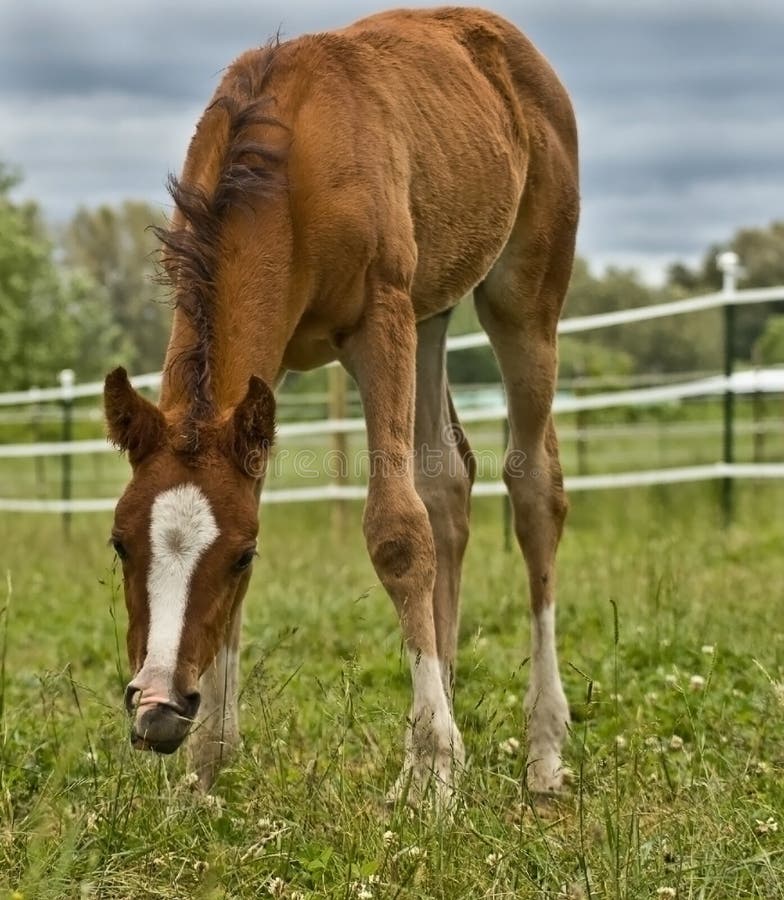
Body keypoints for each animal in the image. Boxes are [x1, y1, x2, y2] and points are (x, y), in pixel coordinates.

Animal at [104, 7, 580, 804]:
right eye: (119, 544)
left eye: (240, 555)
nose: (160, 710)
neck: (290, 163)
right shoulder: (266, 383)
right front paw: (205, 769)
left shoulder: (377, 318)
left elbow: (396, 531)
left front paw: (429, 774)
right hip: (430, 311)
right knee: (447, 480)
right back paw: (448, 704)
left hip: (521, 300)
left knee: (533, 488)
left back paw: (542, 753)